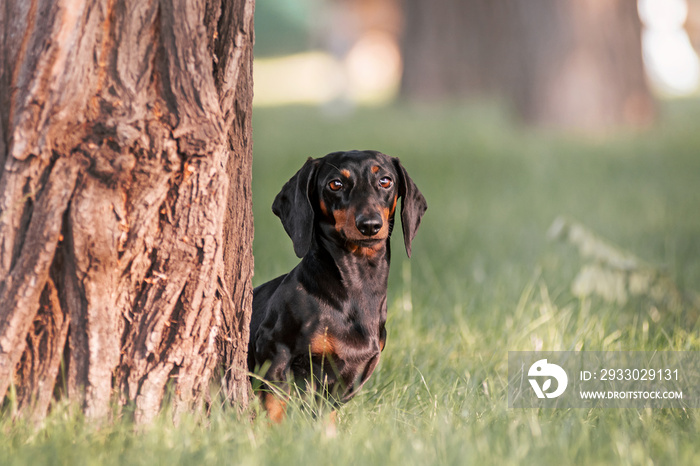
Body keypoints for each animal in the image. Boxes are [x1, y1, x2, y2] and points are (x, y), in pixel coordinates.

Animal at [252, 150, 426, 422]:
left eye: (385, 181)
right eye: (335, 184)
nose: (369, 225)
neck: (357, 289)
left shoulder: (347, 381)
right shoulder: (276, 355)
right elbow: (275, 410)